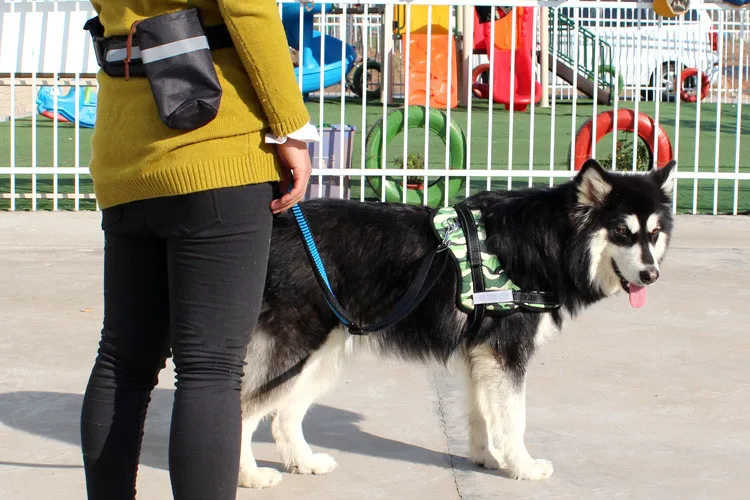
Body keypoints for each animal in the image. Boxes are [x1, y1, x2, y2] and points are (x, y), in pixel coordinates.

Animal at [238, 158, 680, 486]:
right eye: (622, 232)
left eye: (654, 234)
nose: (651, 275)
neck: (550, 242)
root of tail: (280, 223)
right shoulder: (505, 353)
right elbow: (514, 418)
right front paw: (522, 466)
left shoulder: (480, 353)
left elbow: (482, 412)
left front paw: (486, 457)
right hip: (296, 346)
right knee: (244, 409)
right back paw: (250, 476)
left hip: (323, 353)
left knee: (284, 413)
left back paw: (304, 462)